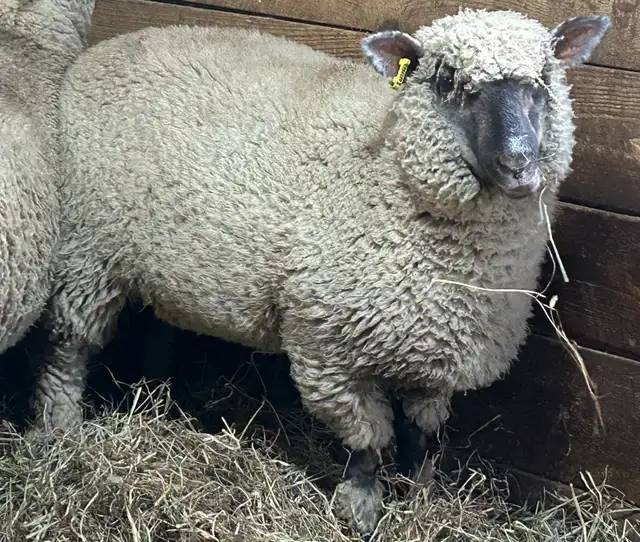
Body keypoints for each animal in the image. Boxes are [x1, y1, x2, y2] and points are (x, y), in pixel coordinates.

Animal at [33, 9, 610, 535]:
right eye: (446, 79)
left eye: (544, 76)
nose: (519, 165)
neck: (387, 173)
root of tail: (106, 48)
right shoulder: (328, 348)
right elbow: (367, 438)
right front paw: (360, 507)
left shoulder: (438, 349)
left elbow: (420, 433)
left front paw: (420, 493)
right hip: (87, 254)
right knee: (67, 348)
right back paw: (59, 429)